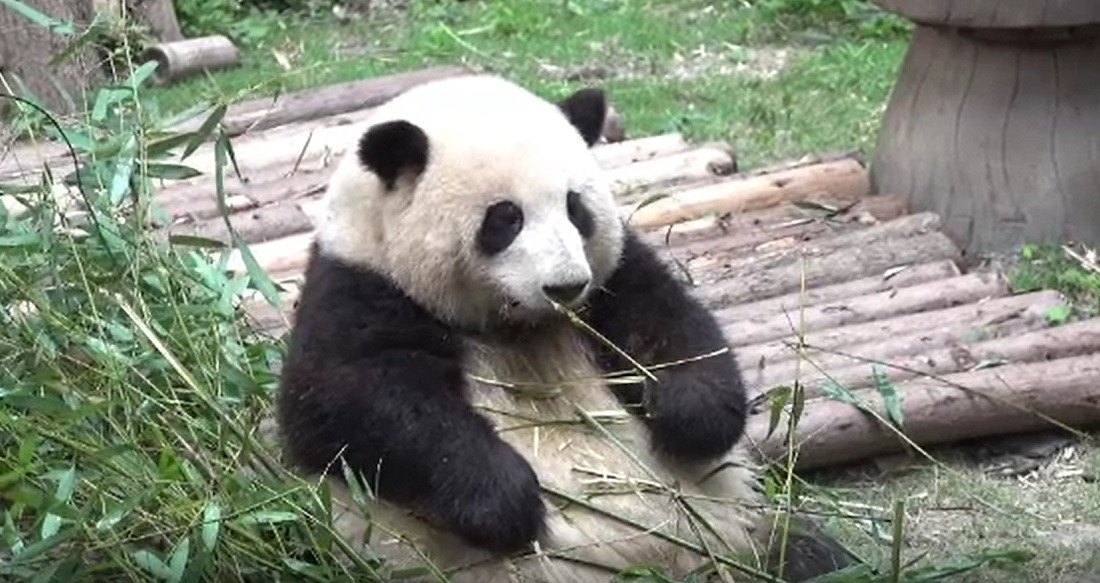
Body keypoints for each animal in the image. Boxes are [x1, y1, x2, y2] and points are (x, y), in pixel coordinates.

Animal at [274, 74, 853, 583]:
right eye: (505, 218)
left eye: (577, 208)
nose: (565, 285)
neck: (519, 325)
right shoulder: (360, 289)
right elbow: (353, 406)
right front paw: (507, 502)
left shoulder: (613, 282)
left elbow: (674, 330)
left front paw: (688, 414)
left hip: (742, 533)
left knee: (810, 554)